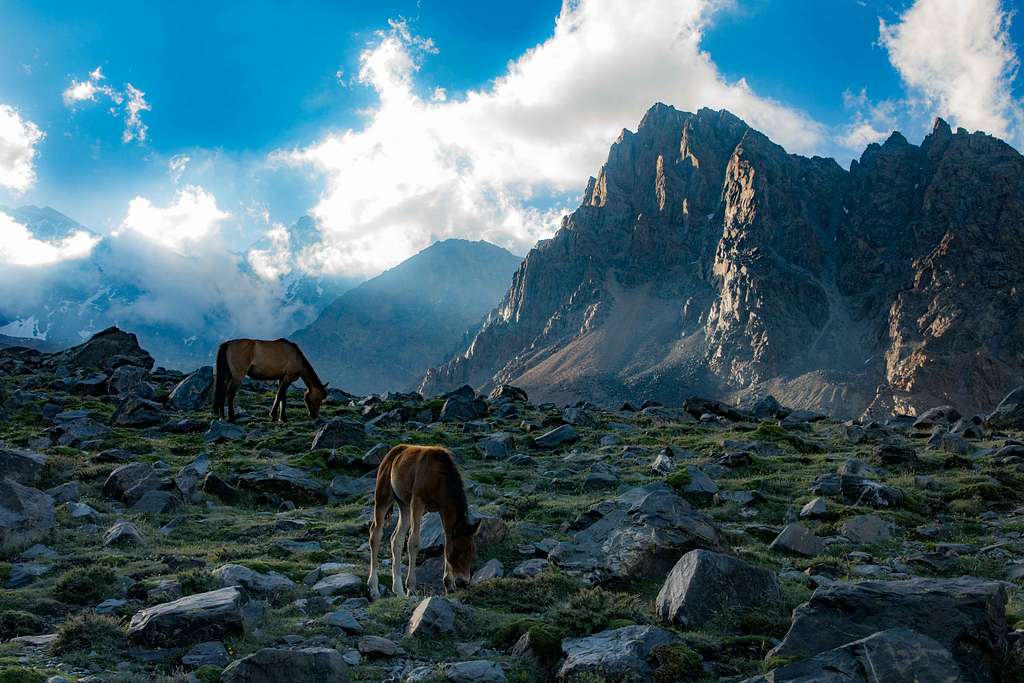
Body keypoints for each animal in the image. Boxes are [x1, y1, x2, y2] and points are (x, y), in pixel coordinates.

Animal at [368, 444, 479, 598]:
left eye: (472, 551)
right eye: (457, 551)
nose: (463, 582)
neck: (439, 477)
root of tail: (393, 452)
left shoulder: (442, 508)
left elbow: (446, 542)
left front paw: (449, 585)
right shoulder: (417, 502)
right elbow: (413, 542)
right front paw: (411, 587)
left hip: (404, 505)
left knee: (396, 539)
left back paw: (398, 590)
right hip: (383, 497)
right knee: (375, 535)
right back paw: (374, 588)